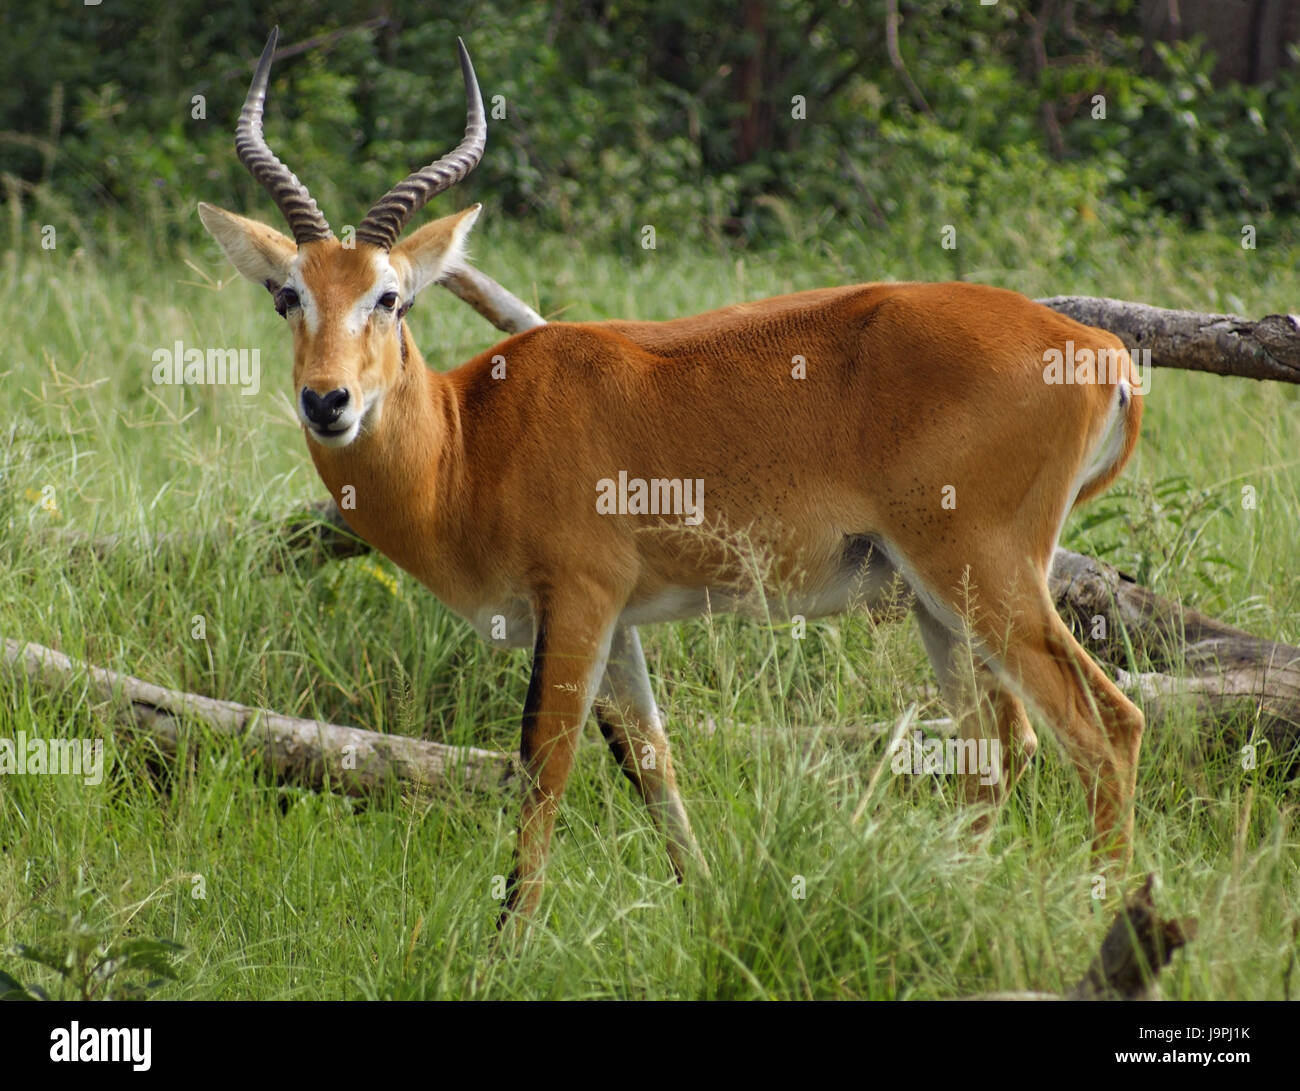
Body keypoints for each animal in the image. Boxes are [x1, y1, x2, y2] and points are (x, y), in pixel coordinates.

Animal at [197, 29, 1144, 925]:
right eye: (287, 294)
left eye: (390, 297)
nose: (328, 400)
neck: (470, 438)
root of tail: (1101, 349)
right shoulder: (620, 621)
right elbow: (651, 762)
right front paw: (705, 903)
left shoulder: (578, 600)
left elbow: (545, 766)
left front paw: (508, 947)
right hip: (932, 599)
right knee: (999, 745)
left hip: (984, 571)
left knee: (1106, 725)